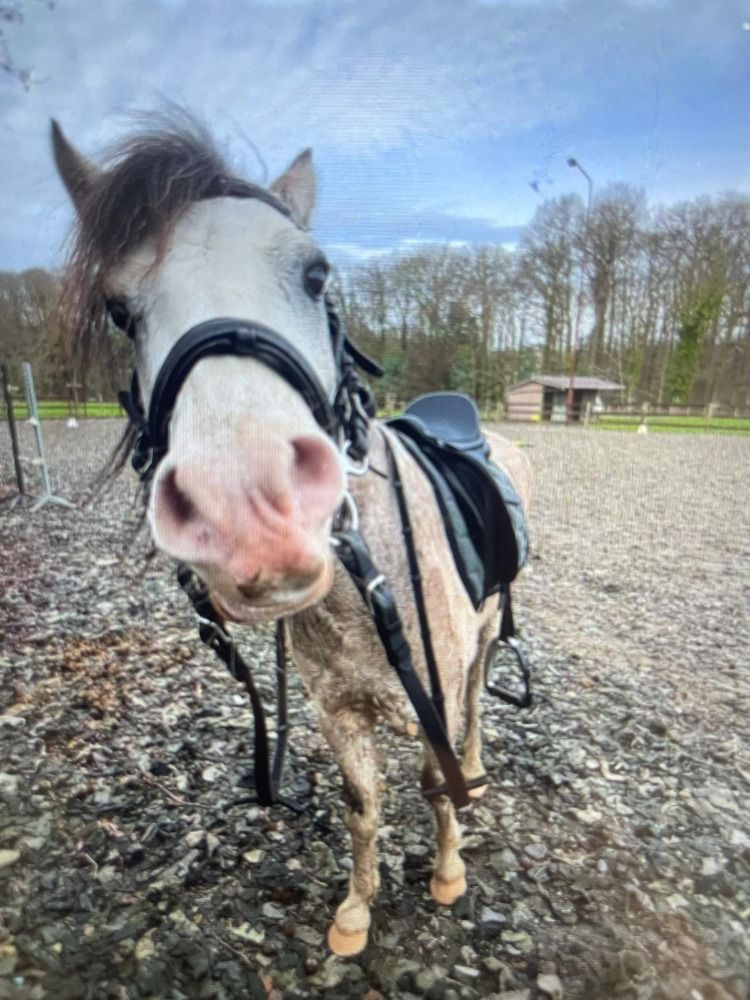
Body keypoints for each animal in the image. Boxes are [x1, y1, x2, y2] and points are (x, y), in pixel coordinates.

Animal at [51, 115, 532, 957]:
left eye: (316, 275)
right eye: (119, 310)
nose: (252, 511)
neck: (365, 595)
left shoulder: (432, 702)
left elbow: (436, 787)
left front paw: (448, 873)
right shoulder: (339, 715)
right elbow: (361, 806)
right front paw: (356, 913)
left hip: (481, 639)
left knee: (477, 707)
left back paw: (476, 769)